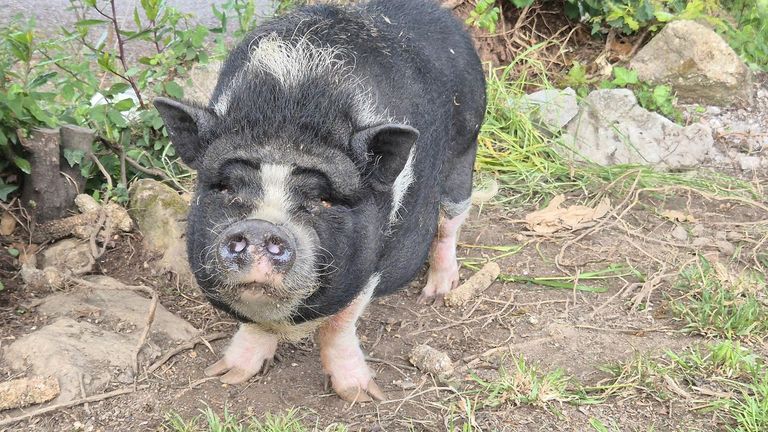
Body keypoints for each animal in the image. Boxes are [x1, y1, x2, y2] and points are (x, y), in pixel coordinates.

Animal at [153, 0, 485, 403]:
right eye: (228, 188)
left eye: (323, 199)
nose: (261, 227)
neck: (290, 116)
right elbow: (254, 322)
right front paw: (227, 375)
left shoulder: (376, 258)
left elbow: (338, 323)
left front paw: (360, 395)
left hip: (466, 143)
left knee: (451, 219)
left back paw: (437, 293)